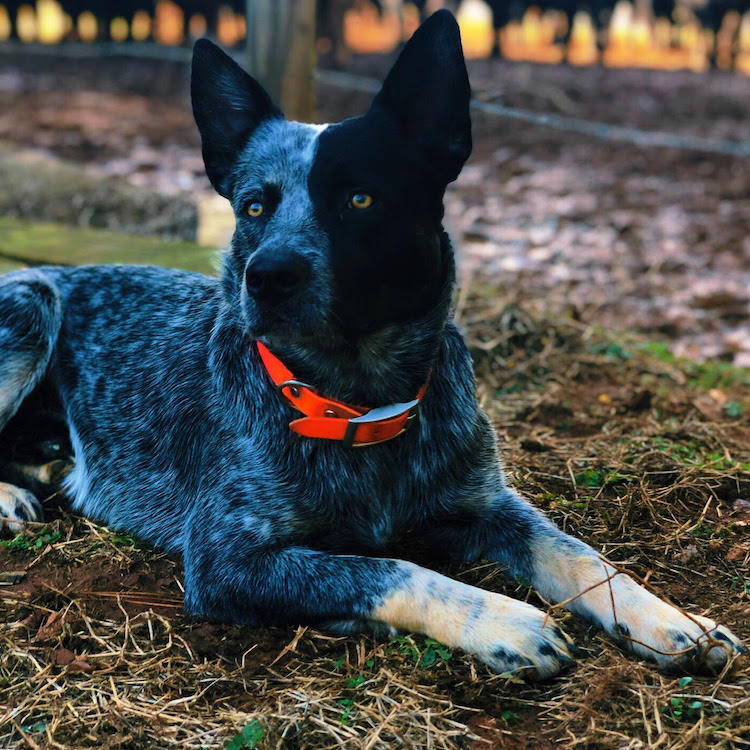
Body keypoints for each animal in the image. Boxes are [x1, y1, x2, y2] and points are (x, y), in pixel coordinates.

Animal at [0, 11, 744, 680]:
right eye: (253, 206)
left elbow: (579, 555)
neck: (358, 402)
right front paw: (502, 619)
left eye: (360, 199)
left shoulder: (487, 503)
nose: (267, 276)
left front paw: (673, 621)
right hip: (31, 302)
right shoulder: (226, 559)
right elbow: (391, 566)